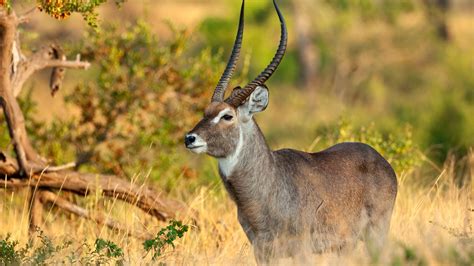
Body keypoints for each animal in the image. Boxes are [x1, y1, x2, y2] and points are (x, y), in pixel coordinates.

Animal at [184, 0, 396, 262]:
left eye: (227, 116)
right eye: (205, 111)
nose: (190, 138)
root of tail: (382, 160)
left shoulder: (302, 250)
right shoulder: (262, 252)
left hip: (376, 234)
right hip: (345, 245)